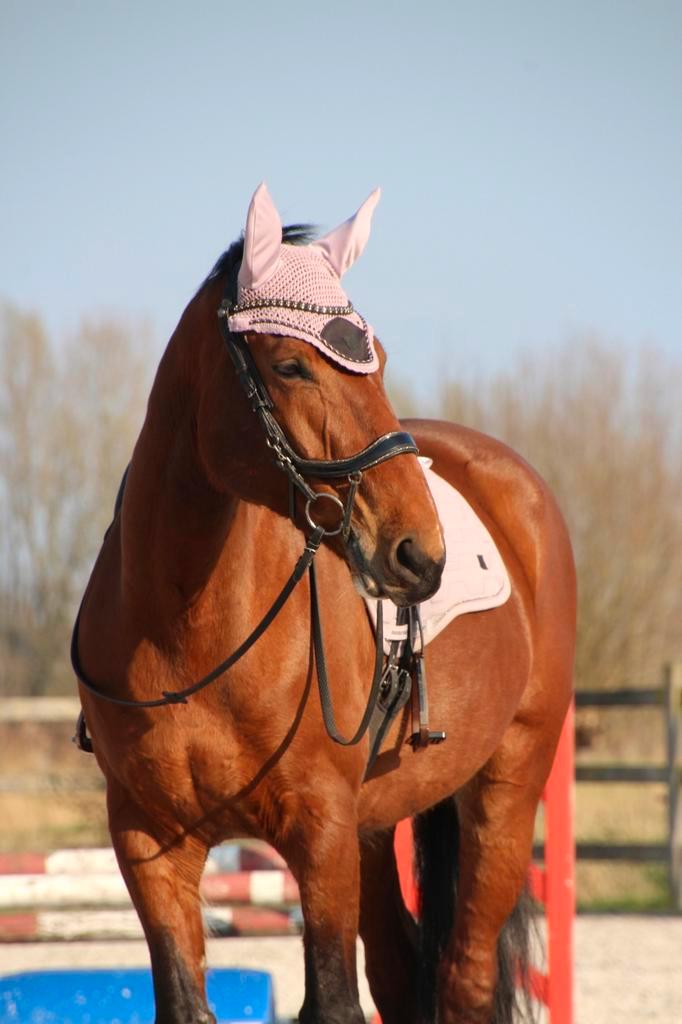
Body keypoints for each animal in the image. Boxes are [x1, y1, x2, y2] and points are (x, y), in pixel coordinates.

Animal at [73, 184, 576, 1024]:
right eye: (289, 366)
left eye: (379, 364)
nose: (419, 553)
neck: (187, 628)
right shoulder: (149, 842)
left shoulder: (323, 832)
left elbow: (335, 999)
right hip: (377, 829)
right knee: (404, 974)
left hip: (505, 792)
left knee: (465, 976)